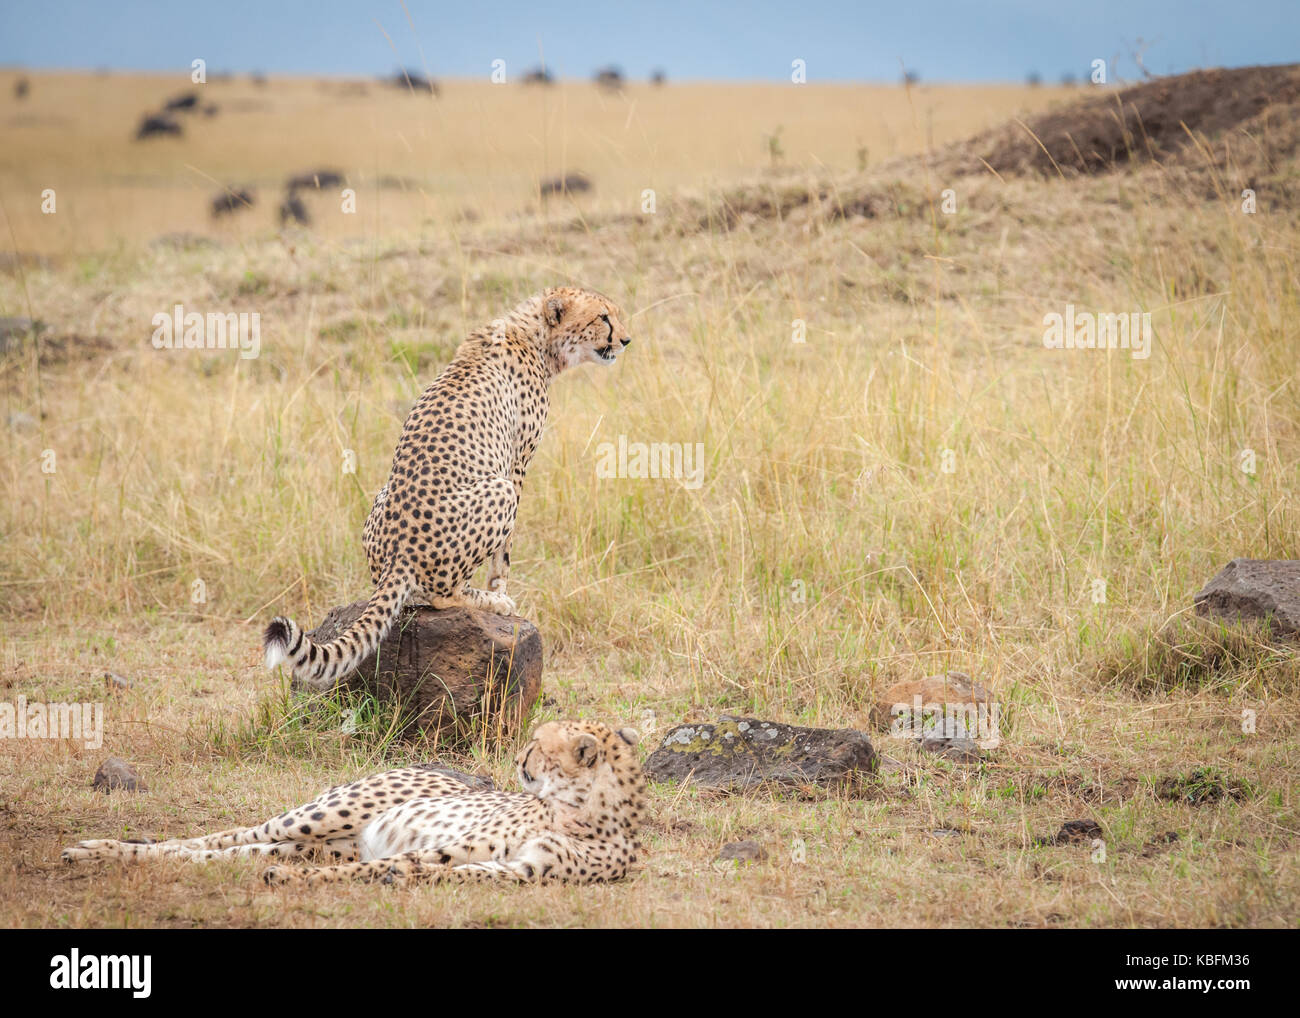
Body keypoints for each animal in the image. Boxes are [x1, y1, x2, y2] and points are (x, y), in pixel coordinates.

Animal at [63, 722, 647, 889]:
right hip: (322, 815)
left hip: (315, 842)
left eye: (539, 745)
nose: (518, 758)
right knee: (219, 836)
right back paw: (94, 849)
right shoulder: (455, 847)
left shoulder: (520, 871)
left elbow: (437, 871)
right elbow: (397, 865)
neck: (582, 812)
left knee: (221, 853)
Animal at [262, 286, 629, 691]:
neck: (534, 335)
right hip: (498, 490)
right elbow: (505, 554)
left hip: (380, 499)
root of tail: (397, 553)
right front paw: (500, 590)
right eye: (603, 317)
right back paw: (488, 601)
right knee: (441, 595)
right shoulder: (516, 466)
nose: (626, 340)